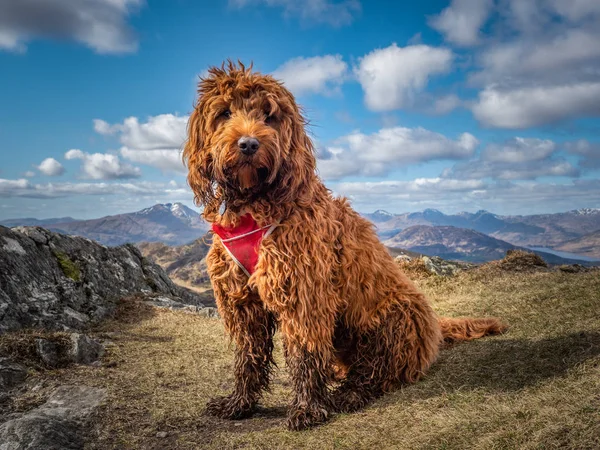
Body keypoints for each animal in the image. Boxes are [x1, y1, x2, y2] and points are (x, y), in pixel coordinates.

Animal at [183, 61, 506, 430]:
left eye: (269, 115)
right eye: (224, 113)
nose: (249, 144)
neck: (255, 204)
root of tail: (436, 331)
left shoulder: (303, 292)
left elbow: (305, 353)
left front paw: (308, 407)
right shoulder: (242, 301)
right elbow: (248, 356)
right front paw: (239, 402)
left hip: (395, 316)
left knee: (380, 373)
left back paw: (351, 393)